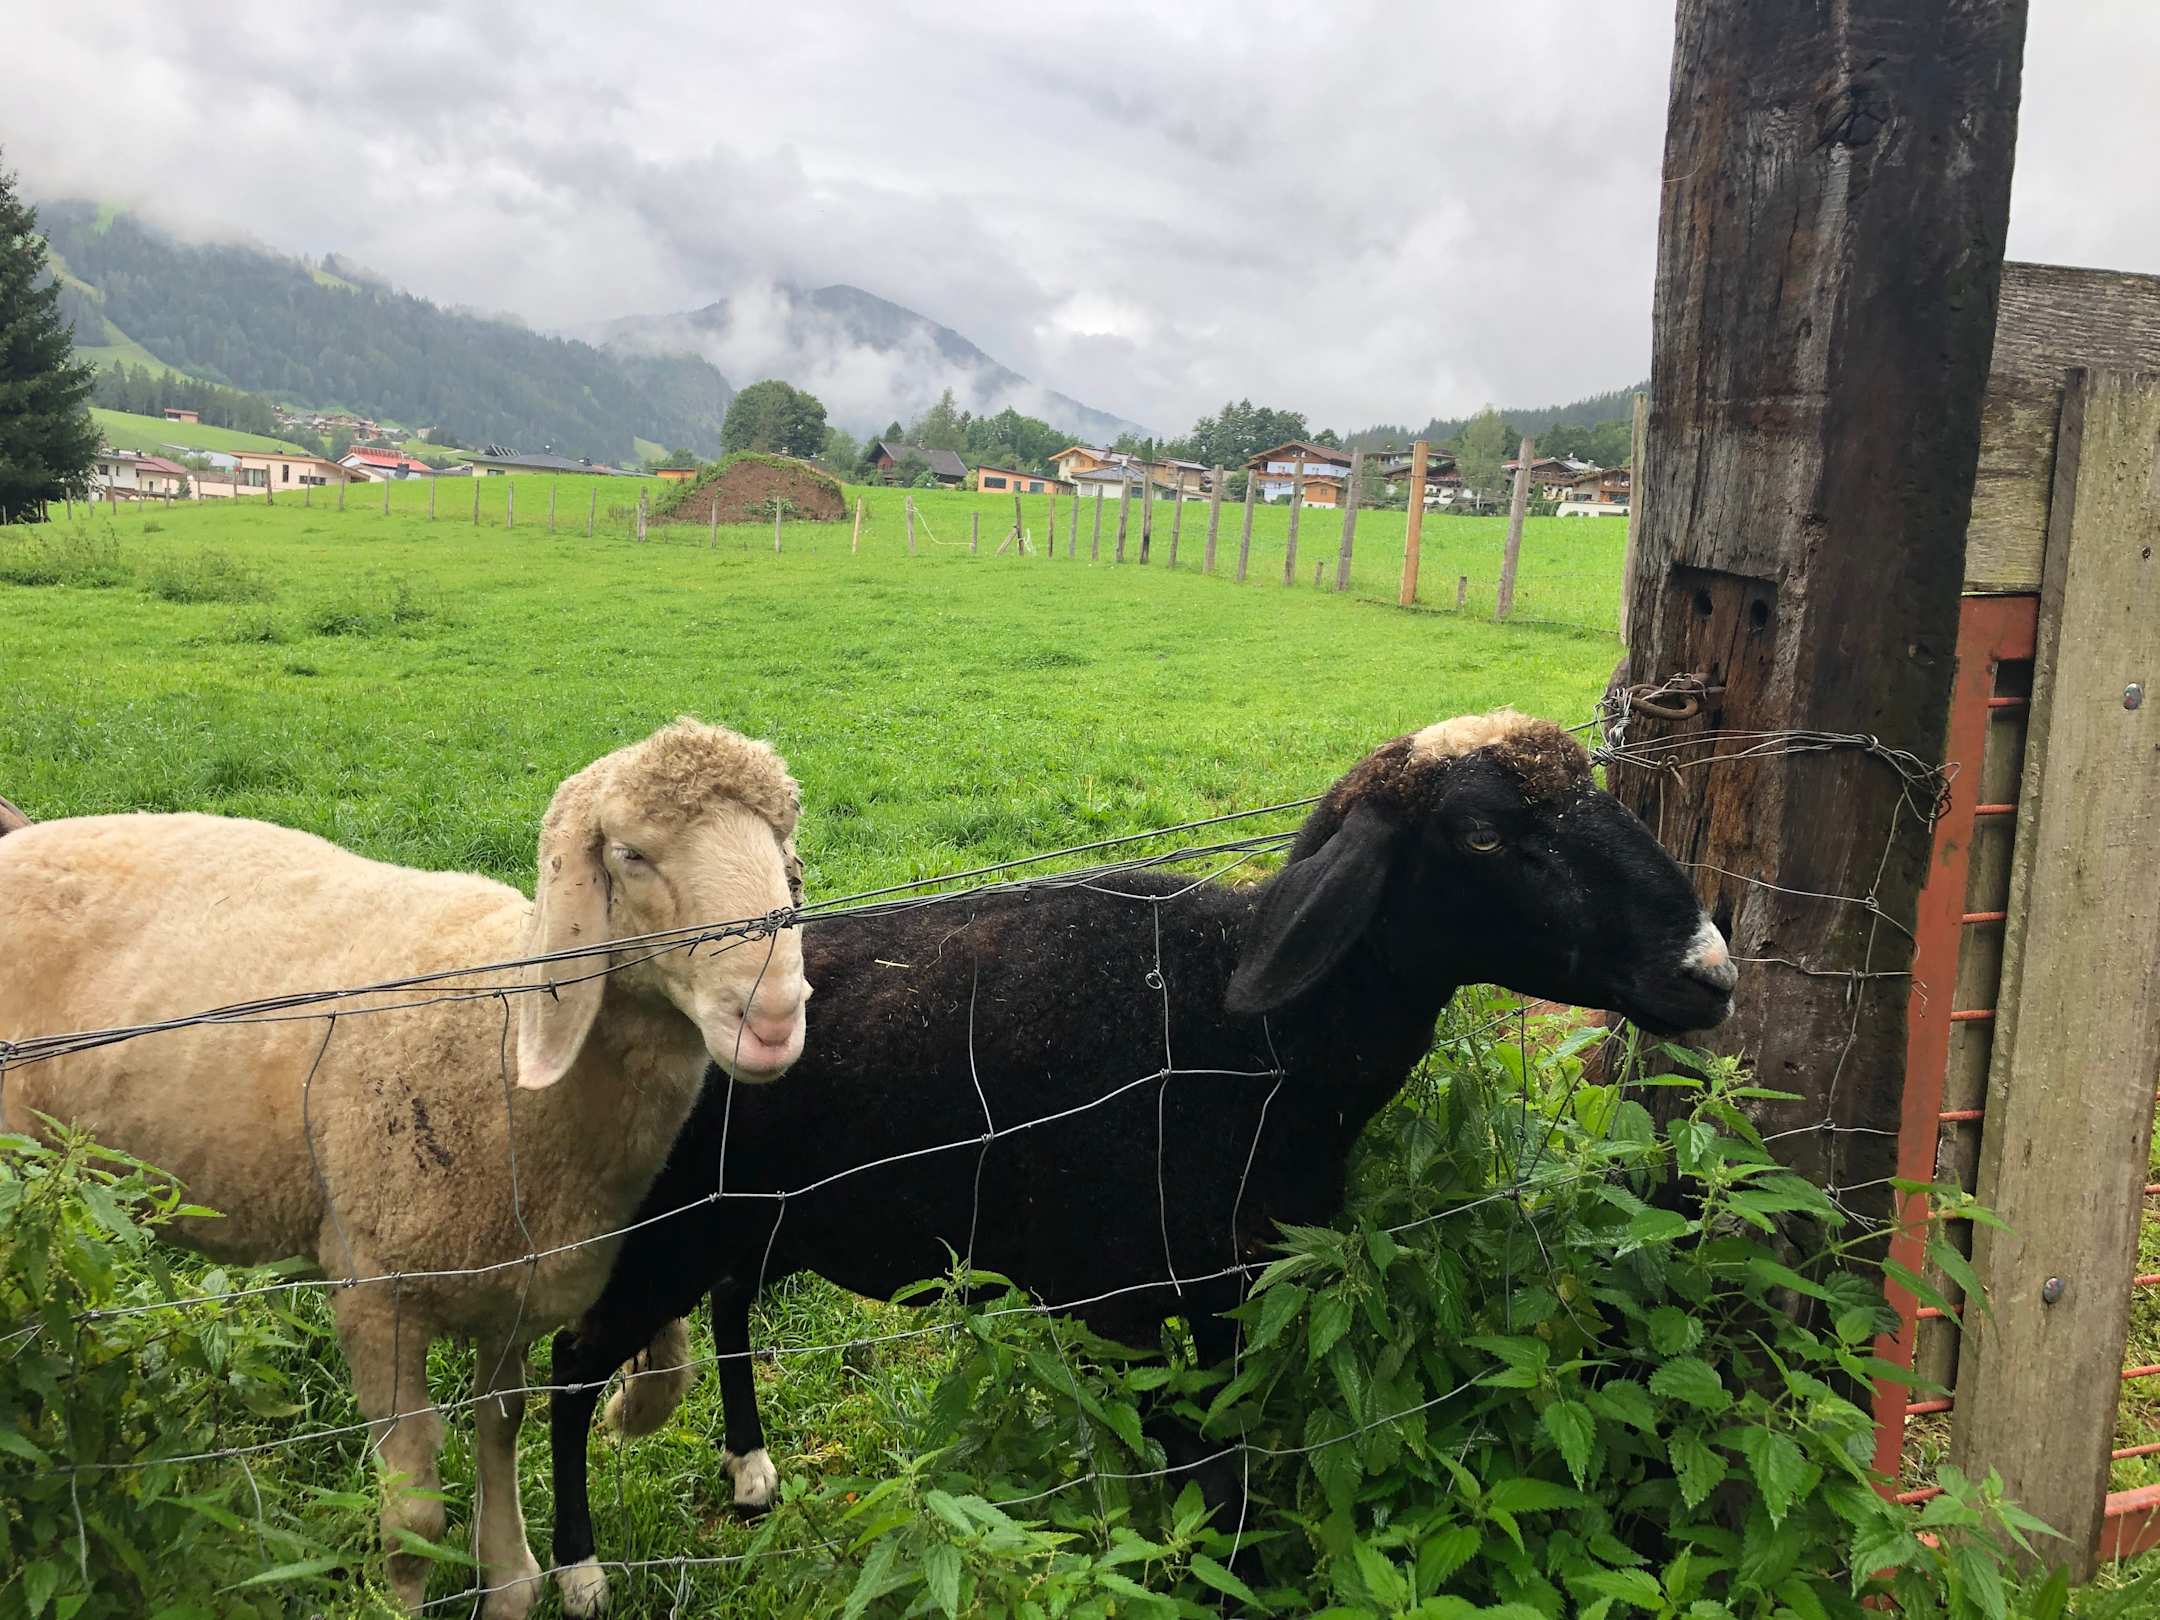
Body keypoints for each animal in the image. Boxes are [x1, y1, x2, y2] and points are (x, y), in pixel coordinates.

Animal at [0, 718, 811, 1620]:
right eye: (632, 854)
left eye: (784, 843)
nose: (775, 1016)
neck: (499, 1052)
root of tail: (20, 838)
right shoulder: (371, 1293)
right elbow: (415, 1513)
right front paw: (410, 1598)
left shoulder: (510, 1289)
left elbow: (503, 1424)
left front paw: (513, 1578)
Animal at [542, 709, 1735, 1615]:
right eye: (1482, 836)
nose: (1711, 972)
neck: (1247, 1033)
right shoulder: (1124, 1308)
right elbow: (1206, 1478)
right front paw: (1217, 1584)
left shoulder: (1226, 1293)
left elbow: (1230, 1464)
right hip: (659, 1228)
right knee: (571, 1361)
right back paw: (581, 1573)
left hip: (755, 1214)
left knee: (732, 1302)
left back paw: (751, 1475)